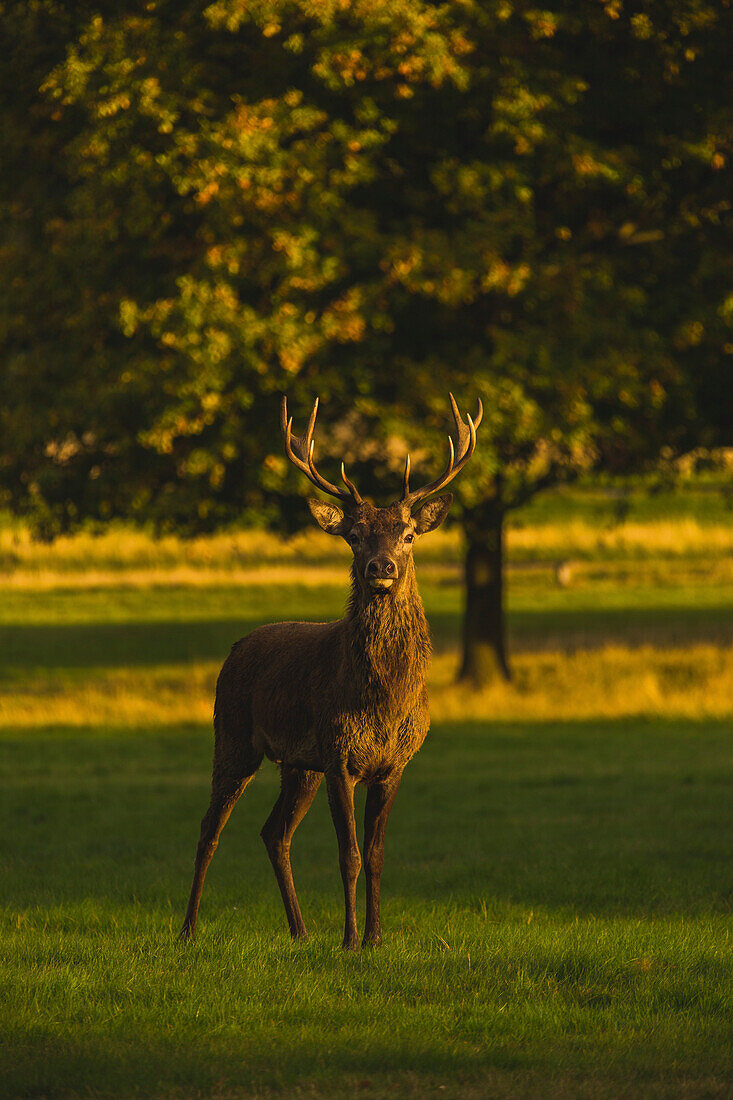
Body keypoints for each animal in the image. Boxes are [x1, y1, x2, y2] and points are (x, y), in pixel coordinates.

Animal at [179, 393, 479, 946]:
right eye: (355, 536)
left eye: (408, 535)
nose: (381, 567)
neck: (384, 702)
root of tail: (236, 648)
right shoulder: (340, 755)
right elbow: (349, 855)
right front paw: (348, 940)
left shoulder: (393, 763)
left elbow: (377, 855)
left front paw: (376, 939)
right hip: (232, 737)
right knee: (210, 828)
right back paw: (188, 929)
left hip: (299, 765)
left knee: (273, 831)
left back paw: (298, 930)